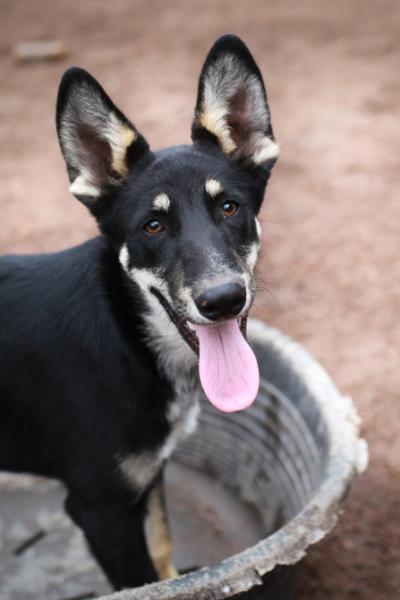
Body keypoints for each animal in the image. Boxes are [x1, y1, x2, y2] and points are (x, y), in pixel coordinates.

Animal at [0, 35, 278, 590]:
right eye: (153, 225)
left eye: (230, 207)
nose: (223, 299)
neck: (128, 341)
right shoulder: (100, 510)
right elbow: (143, 578)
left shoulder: (148, 479)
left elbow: (163, 555)